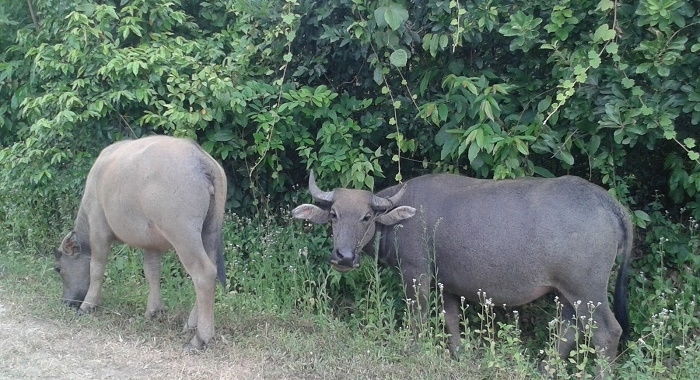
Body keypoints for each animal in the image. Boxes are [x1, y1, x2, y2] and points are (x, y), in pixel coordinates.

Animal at [56, 135, 230, 352]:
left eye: (58, 269)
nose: (66, 302)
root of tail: (201, 160)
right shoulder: (151, 244)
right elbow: (152, 272)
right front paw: (153, 311)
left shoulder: (99, 229)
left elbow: (96, 268)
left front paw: (87, 305)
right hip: (209, 231)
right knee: (212, 270)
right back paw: (191, 324)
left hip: (184, 235)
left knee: (204, 274)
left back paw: (200, 338)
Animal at [292, 172, 632, 378]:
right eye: (334, 215)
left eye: (366, 217)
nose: (344, 257)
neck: (401, 219)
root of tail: (610, 204)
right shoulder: (448, 283)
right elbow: (451, 318)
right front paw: (458, 355)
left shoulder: (416, 273)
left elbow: (418, 316)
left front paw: (415, 350)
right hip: (566, 292)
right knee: (568, 329)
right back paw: (544, 369)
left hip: (587, 289)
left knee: (607, 331)